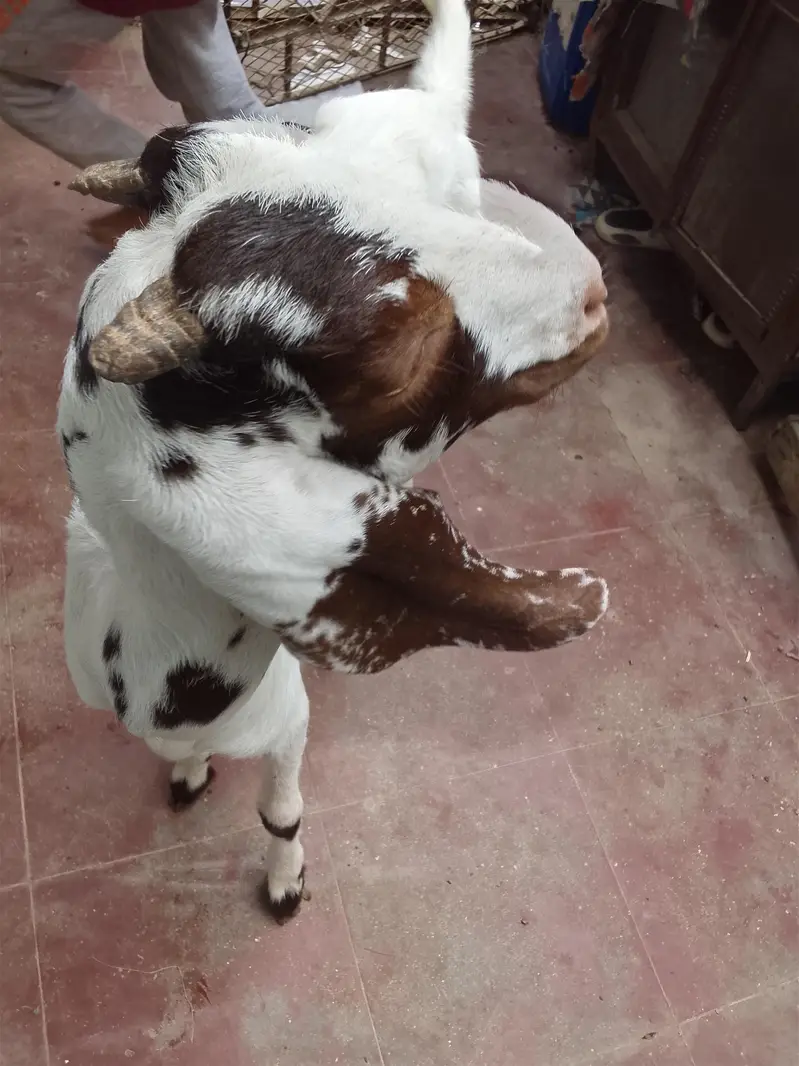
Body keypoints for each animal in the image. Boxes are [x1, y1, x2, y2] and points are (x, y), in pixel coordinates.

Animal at [58, 0, 610, 921]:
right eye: (396, 352)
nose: (593, 292)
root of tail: (422, 100)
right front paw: (189, 774)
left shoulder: (286, 724)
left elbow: (279, 810)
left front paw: (284, 881)